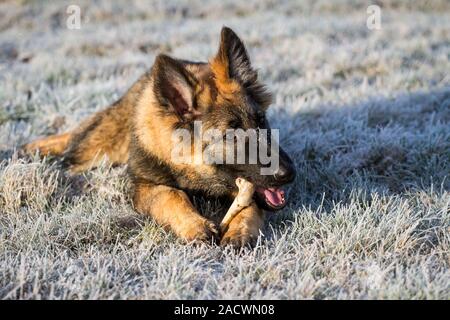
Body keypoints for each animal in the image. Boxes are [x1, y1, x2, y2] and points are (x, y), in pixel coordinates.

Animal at [25, 27, 298, 248]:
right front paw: (194, 226)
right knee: (73, 142)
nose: (289, 173)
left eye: (261, 120)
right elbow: (171, 195)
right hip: (95, 149)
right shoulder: (143, 186)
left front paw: (239, 231)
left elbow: (248, 204)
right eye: (231, 135)